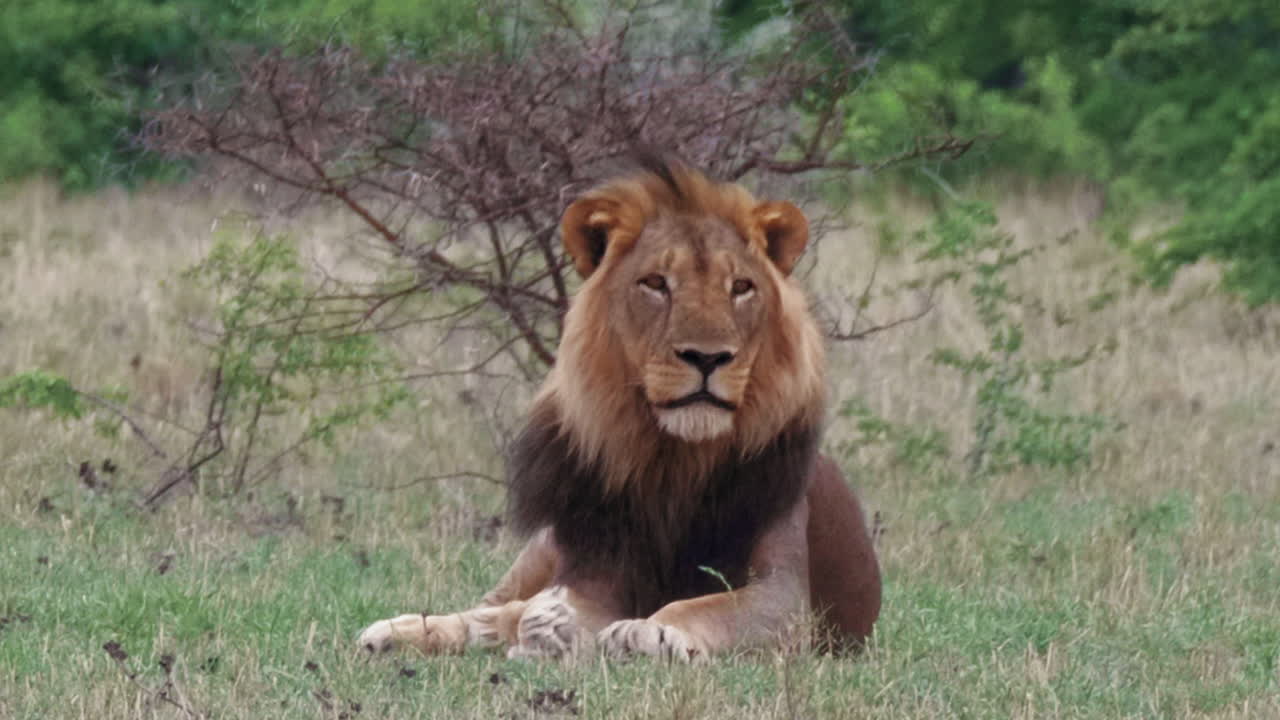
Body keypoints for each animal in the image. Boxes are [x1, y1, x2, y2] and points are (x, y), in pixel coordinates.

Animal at [358, 157, 881, 661]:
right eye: (655, 283)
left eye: (741, 287)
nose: (707, 357)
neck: (676, 461)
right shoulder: (593, 570)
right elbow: (539, 608)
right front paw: (552, 626)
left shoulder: (786, 597)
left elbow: (705, 606)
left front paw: (648, 632)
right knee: (488, 606)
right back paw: (396, 633)